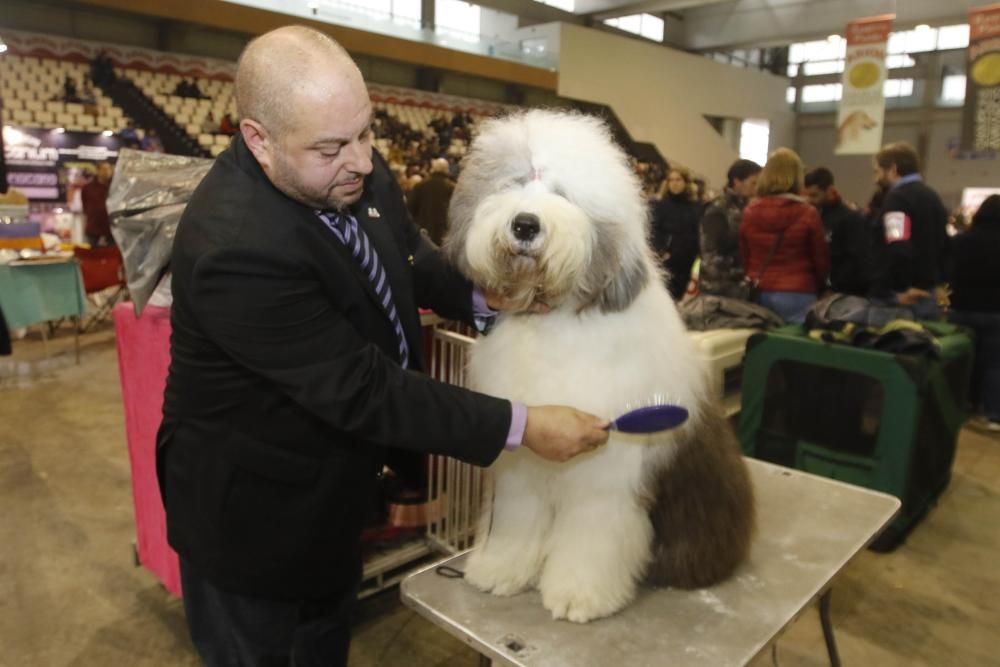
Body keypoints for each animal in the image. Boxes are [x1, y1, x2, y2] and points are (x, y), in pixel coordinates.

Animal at [448, 111, 756, 628]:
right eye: (514, 183)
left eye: (563, 195)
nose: (525, 225)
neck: (553, 320)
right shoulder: (523, 463)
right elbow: (519, 516)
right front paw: (501, 570)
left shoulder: (606, 473)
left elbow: (592, 532)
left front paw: (578, 595)